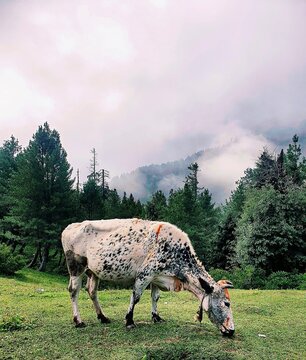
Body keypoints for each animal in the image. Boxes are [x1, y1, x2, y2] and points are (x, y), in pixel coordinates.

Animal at [61, 218, 235, 336]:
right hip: (76, 267)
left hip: (94, 272)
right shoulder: (145, 274)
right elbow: (136, 297)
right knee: (74, 291)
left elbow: (155, 297)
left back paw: (102, 317)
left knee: (91, 291)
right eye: (226, 303)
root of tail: (71, 227)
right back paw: (78, 321)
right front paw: (129, 321)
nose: (232, 330)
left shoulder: (156, 278)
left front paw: (156, 317)